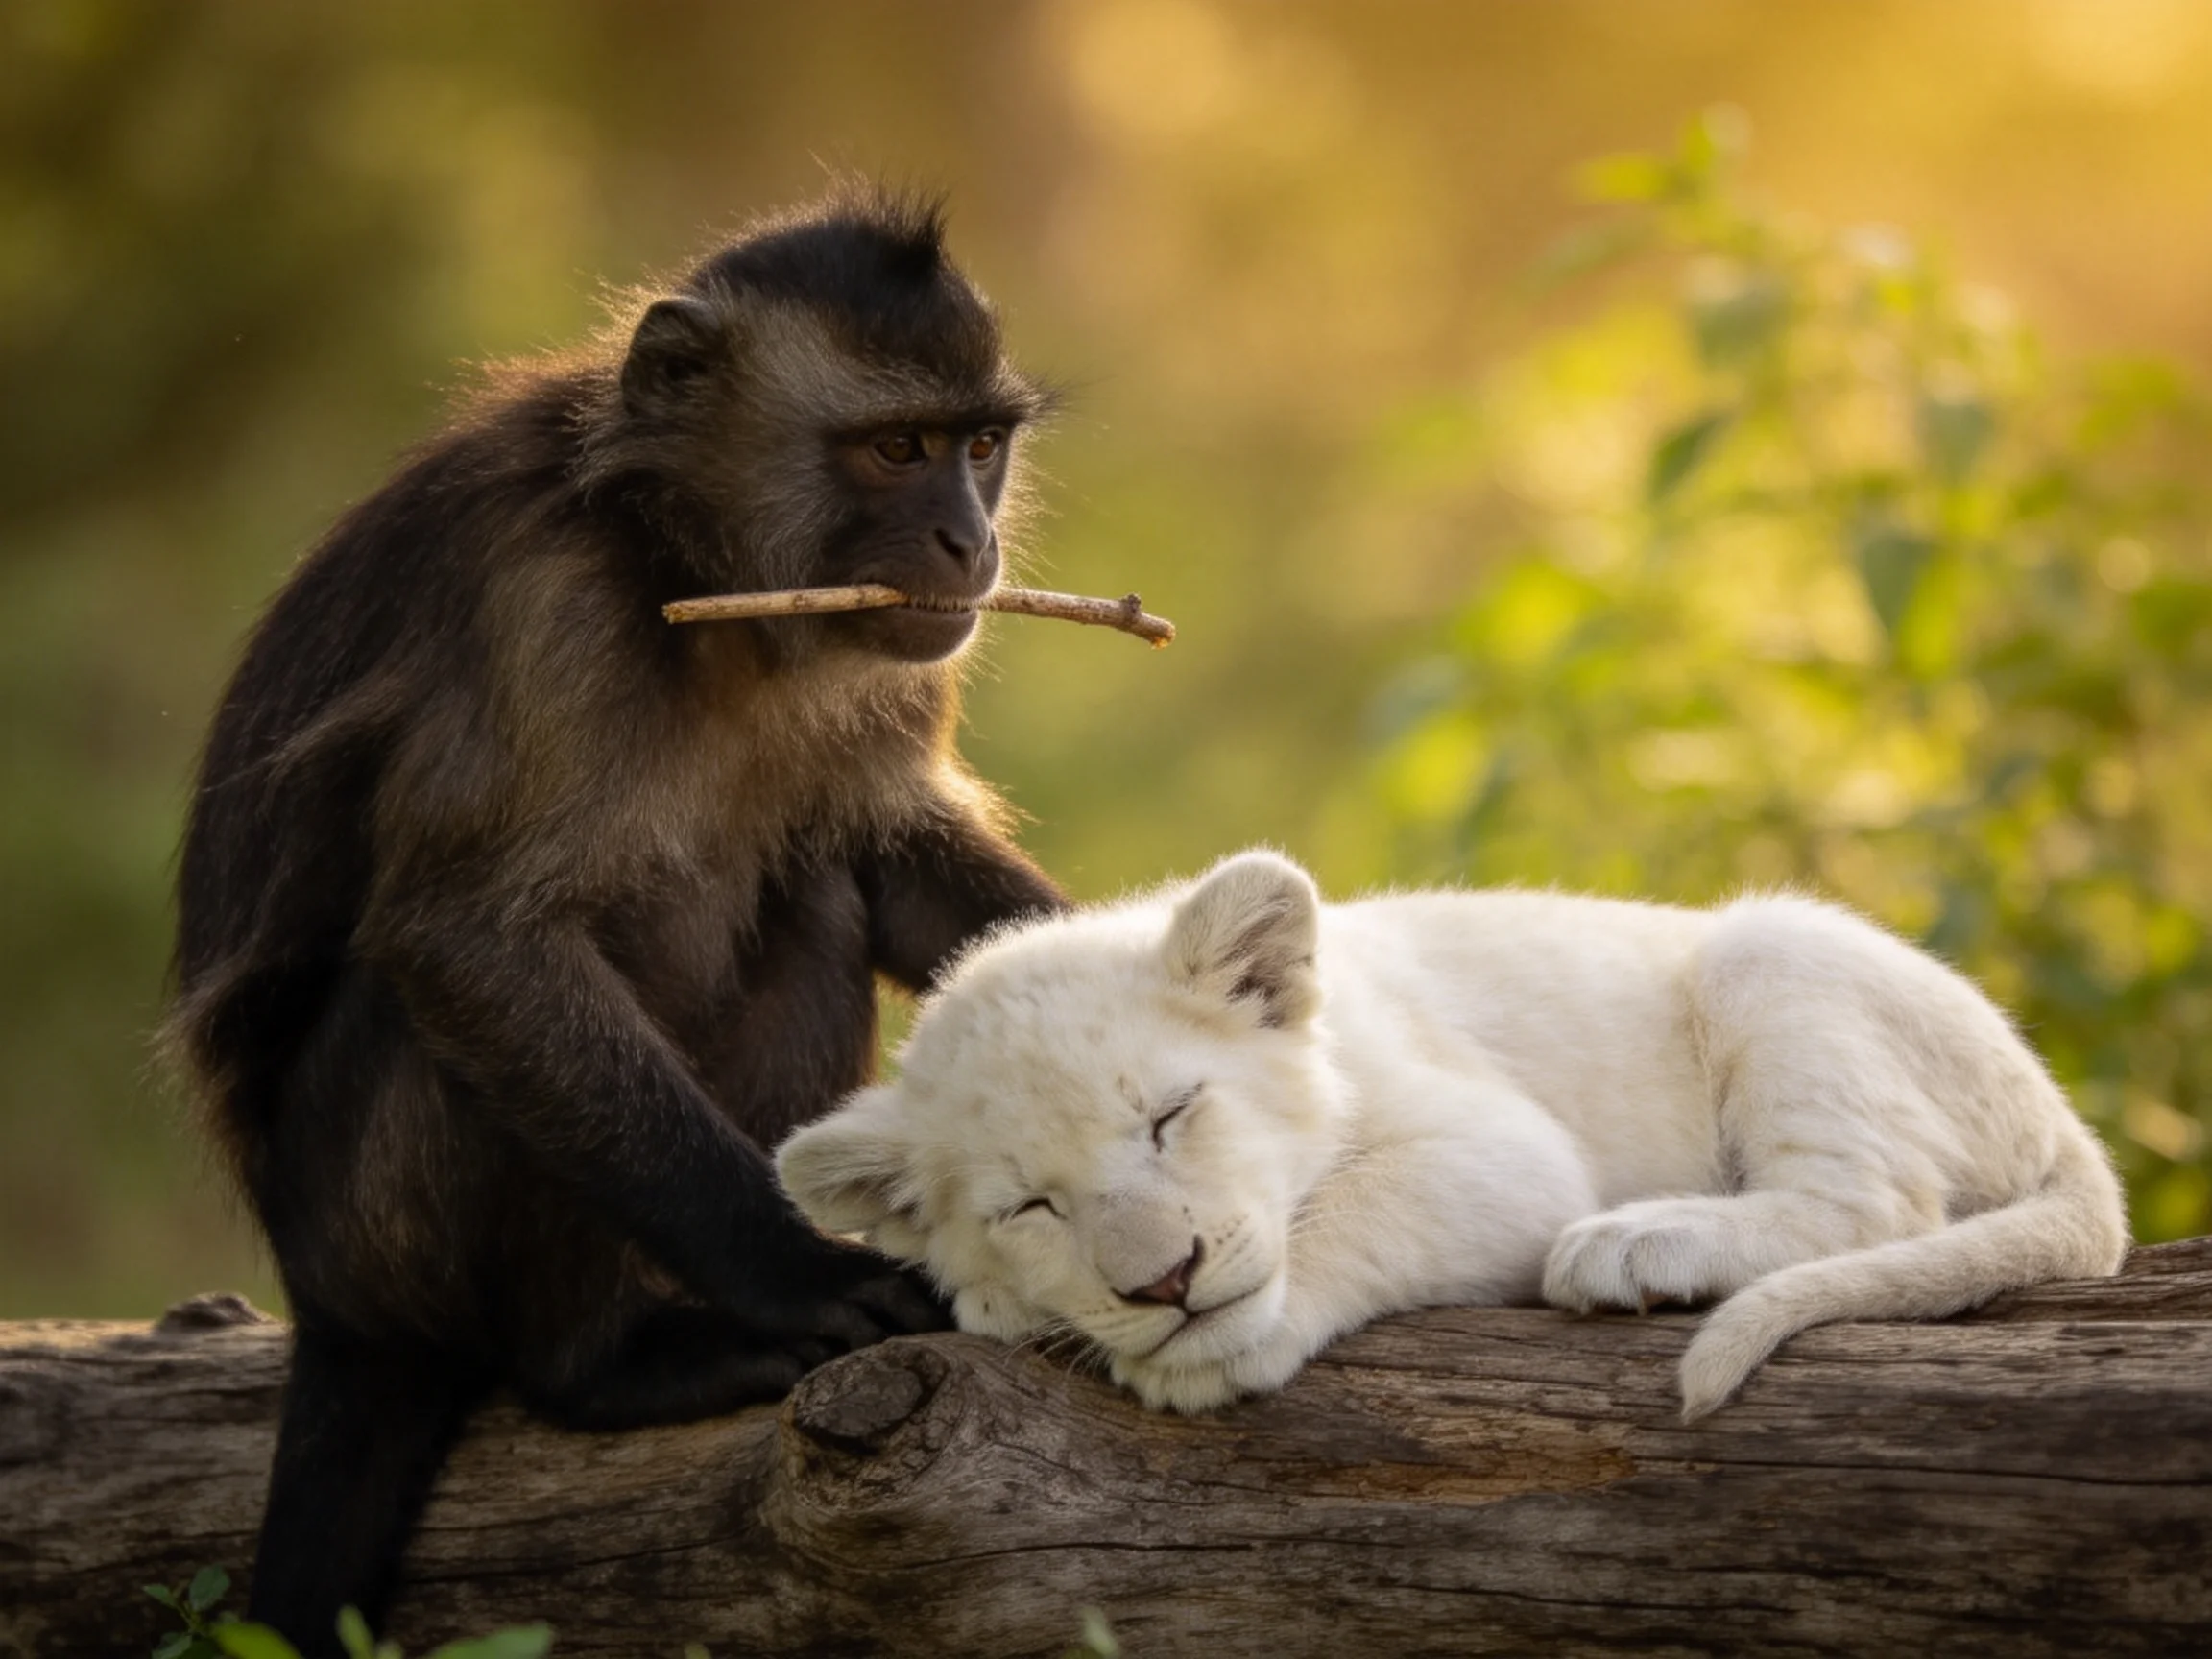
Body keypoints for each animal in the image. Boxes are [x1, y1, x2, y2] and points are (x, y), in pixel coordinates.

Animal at [166, 192, 1064, 1654]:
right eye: (897, 449)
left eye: (979, 448)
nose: (968, 543)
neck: (688, 571)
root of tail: (329, 1310)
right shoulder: (547, 615)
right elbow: (470, 941)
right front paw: (791, 1272)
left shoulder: (897, 650)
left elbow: (897, 871)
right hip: (369, 1240)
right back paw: (601, 1363)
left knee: (806, 892)